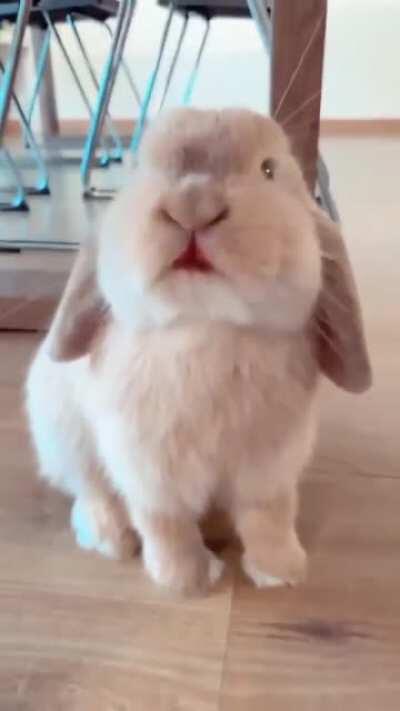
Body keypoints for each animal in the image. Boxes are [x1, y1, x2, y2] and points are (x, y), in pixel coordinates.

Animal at [25, 108, 371, 593]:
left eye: (268, 169)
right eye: (143, 169)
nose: (192, 205)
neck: (207, 328)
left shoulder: (270, 468)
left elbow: (271, 516)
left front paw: (282, 572)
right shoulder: (148, 471)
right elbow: (165, 523)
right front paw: (187, 580)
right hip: (61, 432)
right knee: (90, 488)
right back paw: (109, 537)